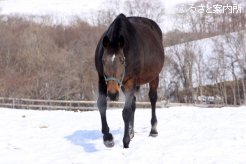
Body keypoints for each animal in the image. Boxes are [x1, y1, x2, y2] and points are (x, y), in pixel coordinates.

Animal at [95, 13, 164, 148]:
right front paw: (108, 137)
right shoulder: (101, 78)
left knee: (153, 99)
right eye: (104, 60)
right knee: (133, 103)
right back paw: (131, 132)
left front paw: (125, 140)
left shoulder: (130, 81)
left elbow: (126, 112)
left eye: (122, 60)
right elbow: (102, 104)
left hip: (153, 77)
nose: (112, 94)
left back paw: (153, 130)